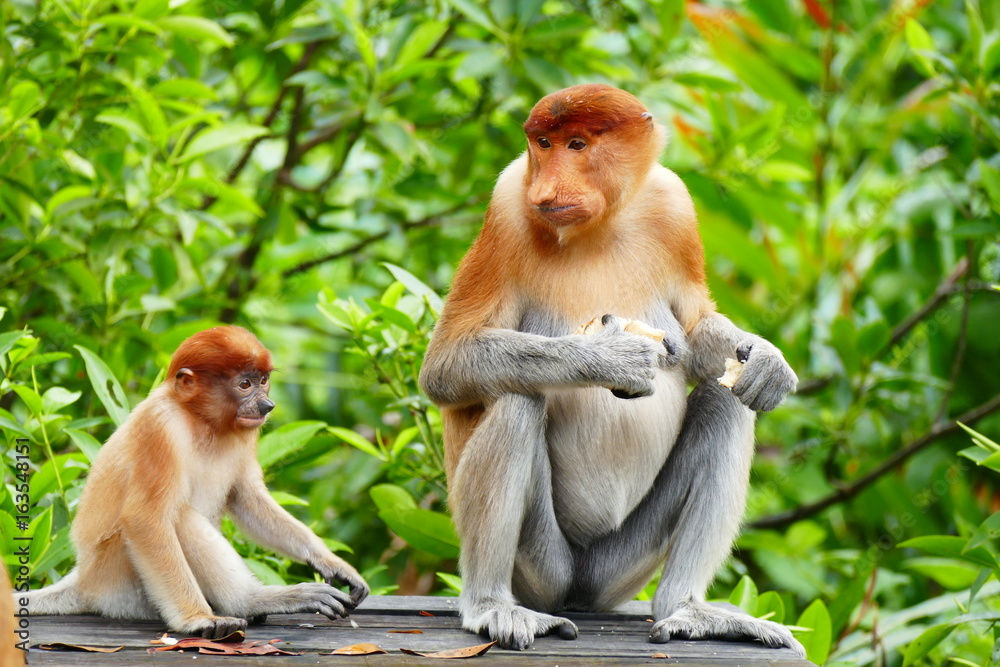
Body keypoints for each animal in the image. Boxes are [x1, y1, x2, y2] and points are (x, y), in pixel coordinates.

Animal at [19, 326, 369, 638]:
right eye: (244, 384)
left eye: (263, 380)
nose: (267, 405)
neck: (201, 420)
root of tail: (84, 580)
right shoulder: (160, 427)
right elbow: (145, 518)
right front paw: (197, 620)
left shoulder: (246, 432)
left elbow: (247, 498)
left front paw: (333, 564)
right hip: (120, 581)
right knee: (179, 516)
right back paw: (249, 602)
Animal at [419, 84, 804, 655]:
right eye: (543, 143)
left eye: (577, 145)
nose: (547, 188)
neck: (598, 226)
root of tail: (580, 591)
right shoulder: (508, 204)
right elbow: (446, 363)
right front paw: (611, 356)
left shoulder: (673, 203)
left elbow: (695, 328)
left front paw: (767, 361)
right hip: (541, 570)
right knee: (516, 398)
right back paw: (491, 606)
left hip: (620, 567)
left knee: (726, 402)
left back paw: (687, 608)